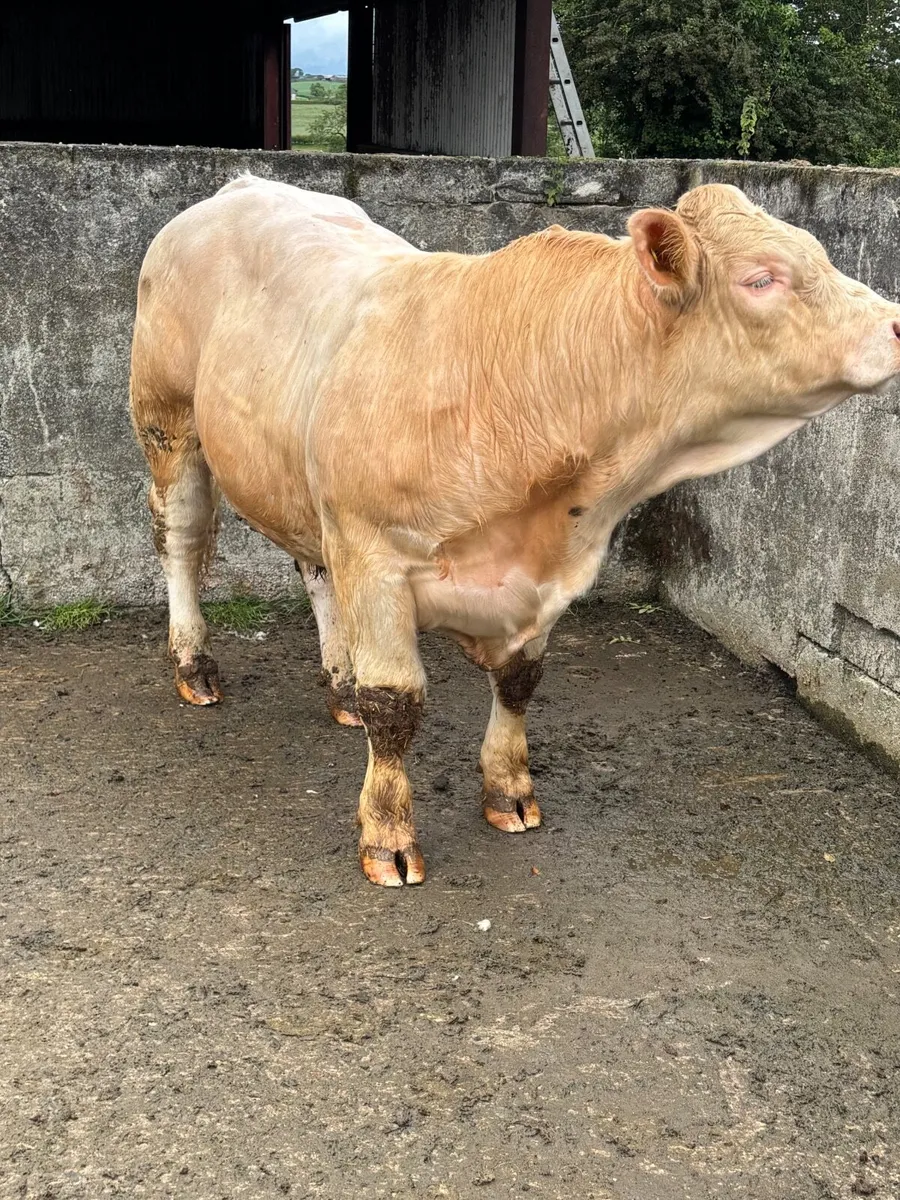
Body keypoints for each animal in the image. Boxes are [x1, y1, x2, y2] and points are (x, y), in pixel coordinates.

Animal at [130, 175, 900, 887]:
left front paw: (509, 790)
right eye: (761, 279)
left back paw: (339, 686)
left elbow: (520, 682)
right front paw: (387, 833)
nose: (896, 324)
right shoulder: (373, 554)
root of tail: (241, 186)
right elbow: (396, 703)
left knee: (313, 570)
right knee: (182, 542)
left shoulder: (547, 574)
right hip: (169, 424)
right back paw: (195, 666)